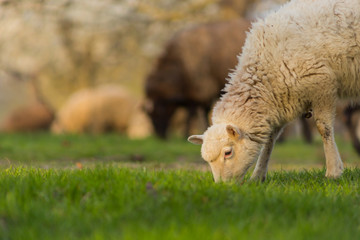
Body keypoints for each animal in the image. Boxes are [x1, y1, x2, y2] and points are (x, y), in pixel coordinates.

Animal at [188, 0, 360, 182]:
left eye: (228, 153)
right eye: (207, 161)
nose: (222, 186)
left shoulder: (323, 85)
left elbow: (323, 128)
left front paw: (333, 171)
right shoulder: (280, 102)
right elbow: (269, 141)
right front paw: (257, 176)